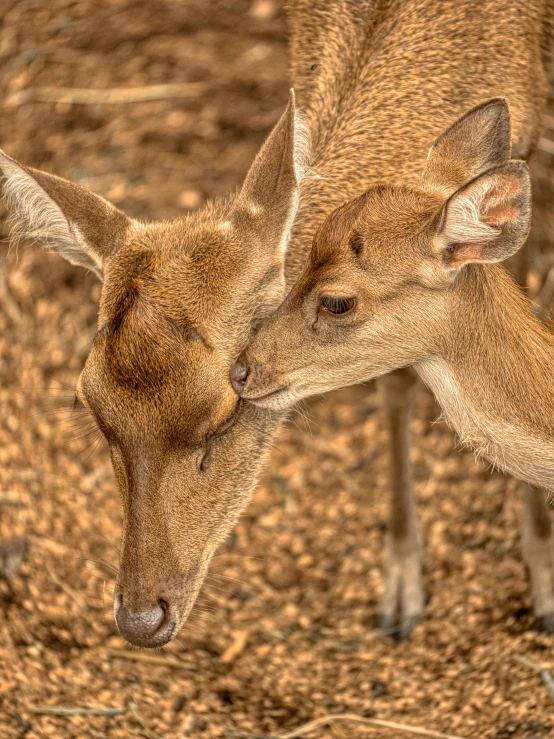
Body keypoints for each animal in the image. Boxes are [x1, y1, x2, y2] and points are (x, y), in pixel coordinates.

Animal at [1, 0, 552, 644]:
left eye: (221, 415)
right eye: (92, 407)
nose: (140, 618)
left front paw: (543, 582)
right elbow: (396, 380)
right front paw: (399, 589)